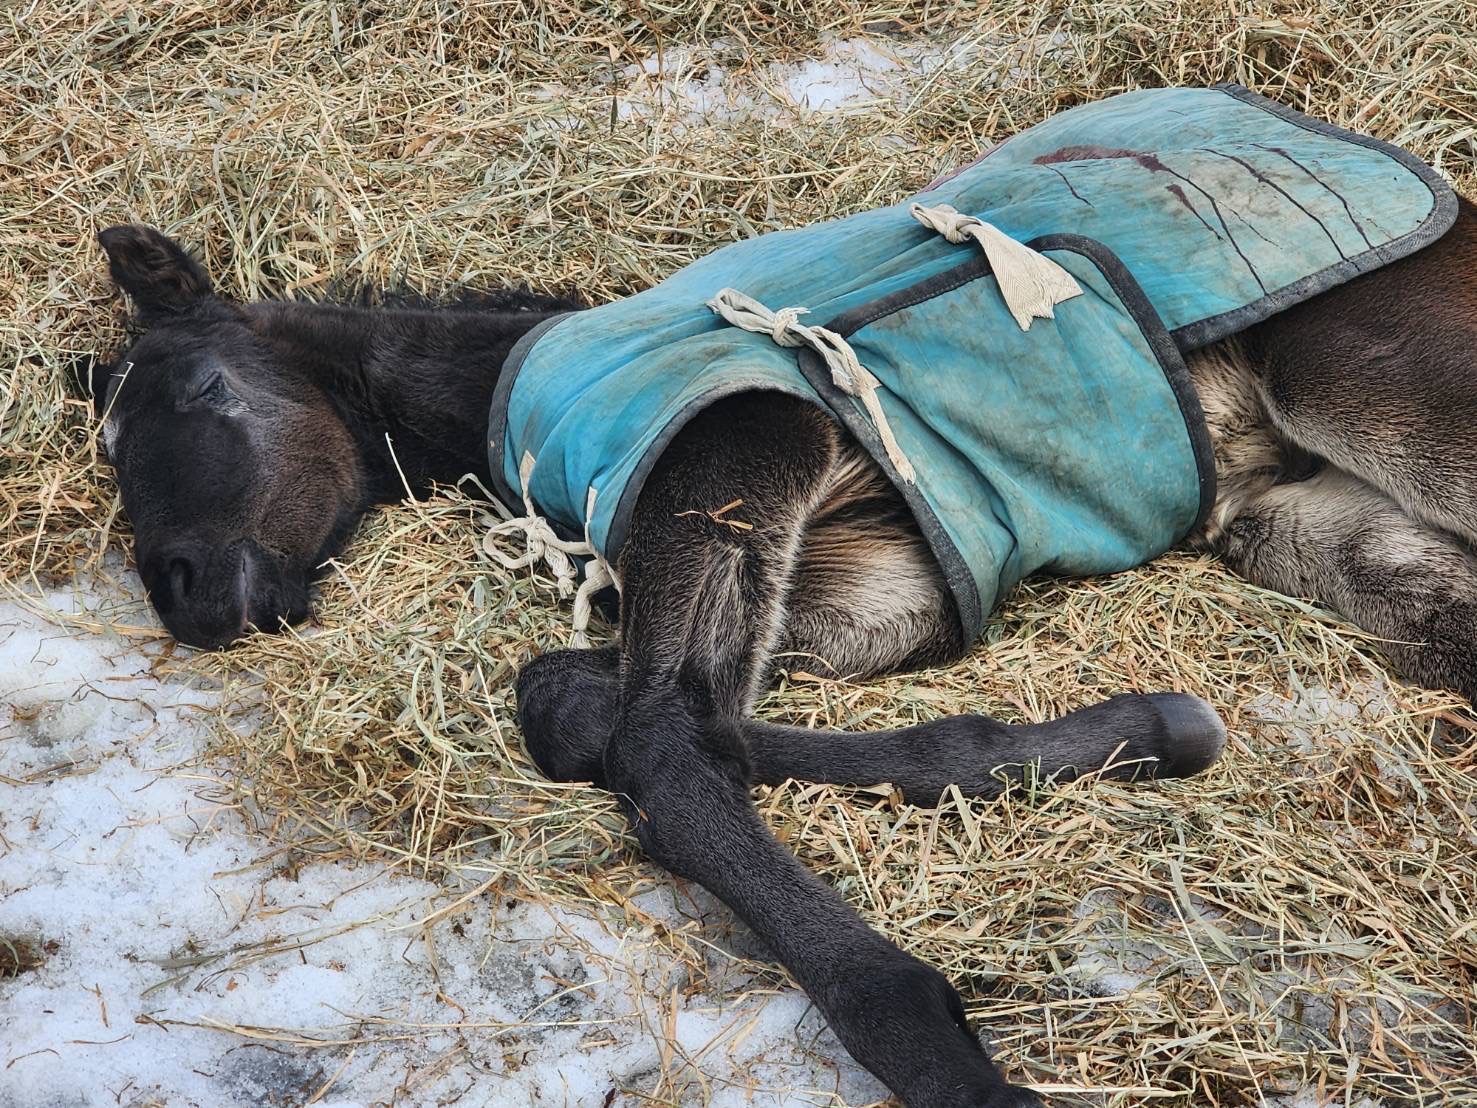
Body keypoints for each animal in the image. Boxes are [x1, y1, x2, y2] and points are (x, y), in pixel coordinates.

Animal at [98, 89, 1471, 1108]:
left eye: (203, 391)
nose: (188, 597)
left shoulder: (736, 449)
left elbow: (662, 740)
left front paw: (947, 1055)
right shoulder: (883, 580)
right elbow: (593, 707)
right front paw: (1148, 729)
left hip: (1383, 395)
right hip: (1311, 529)